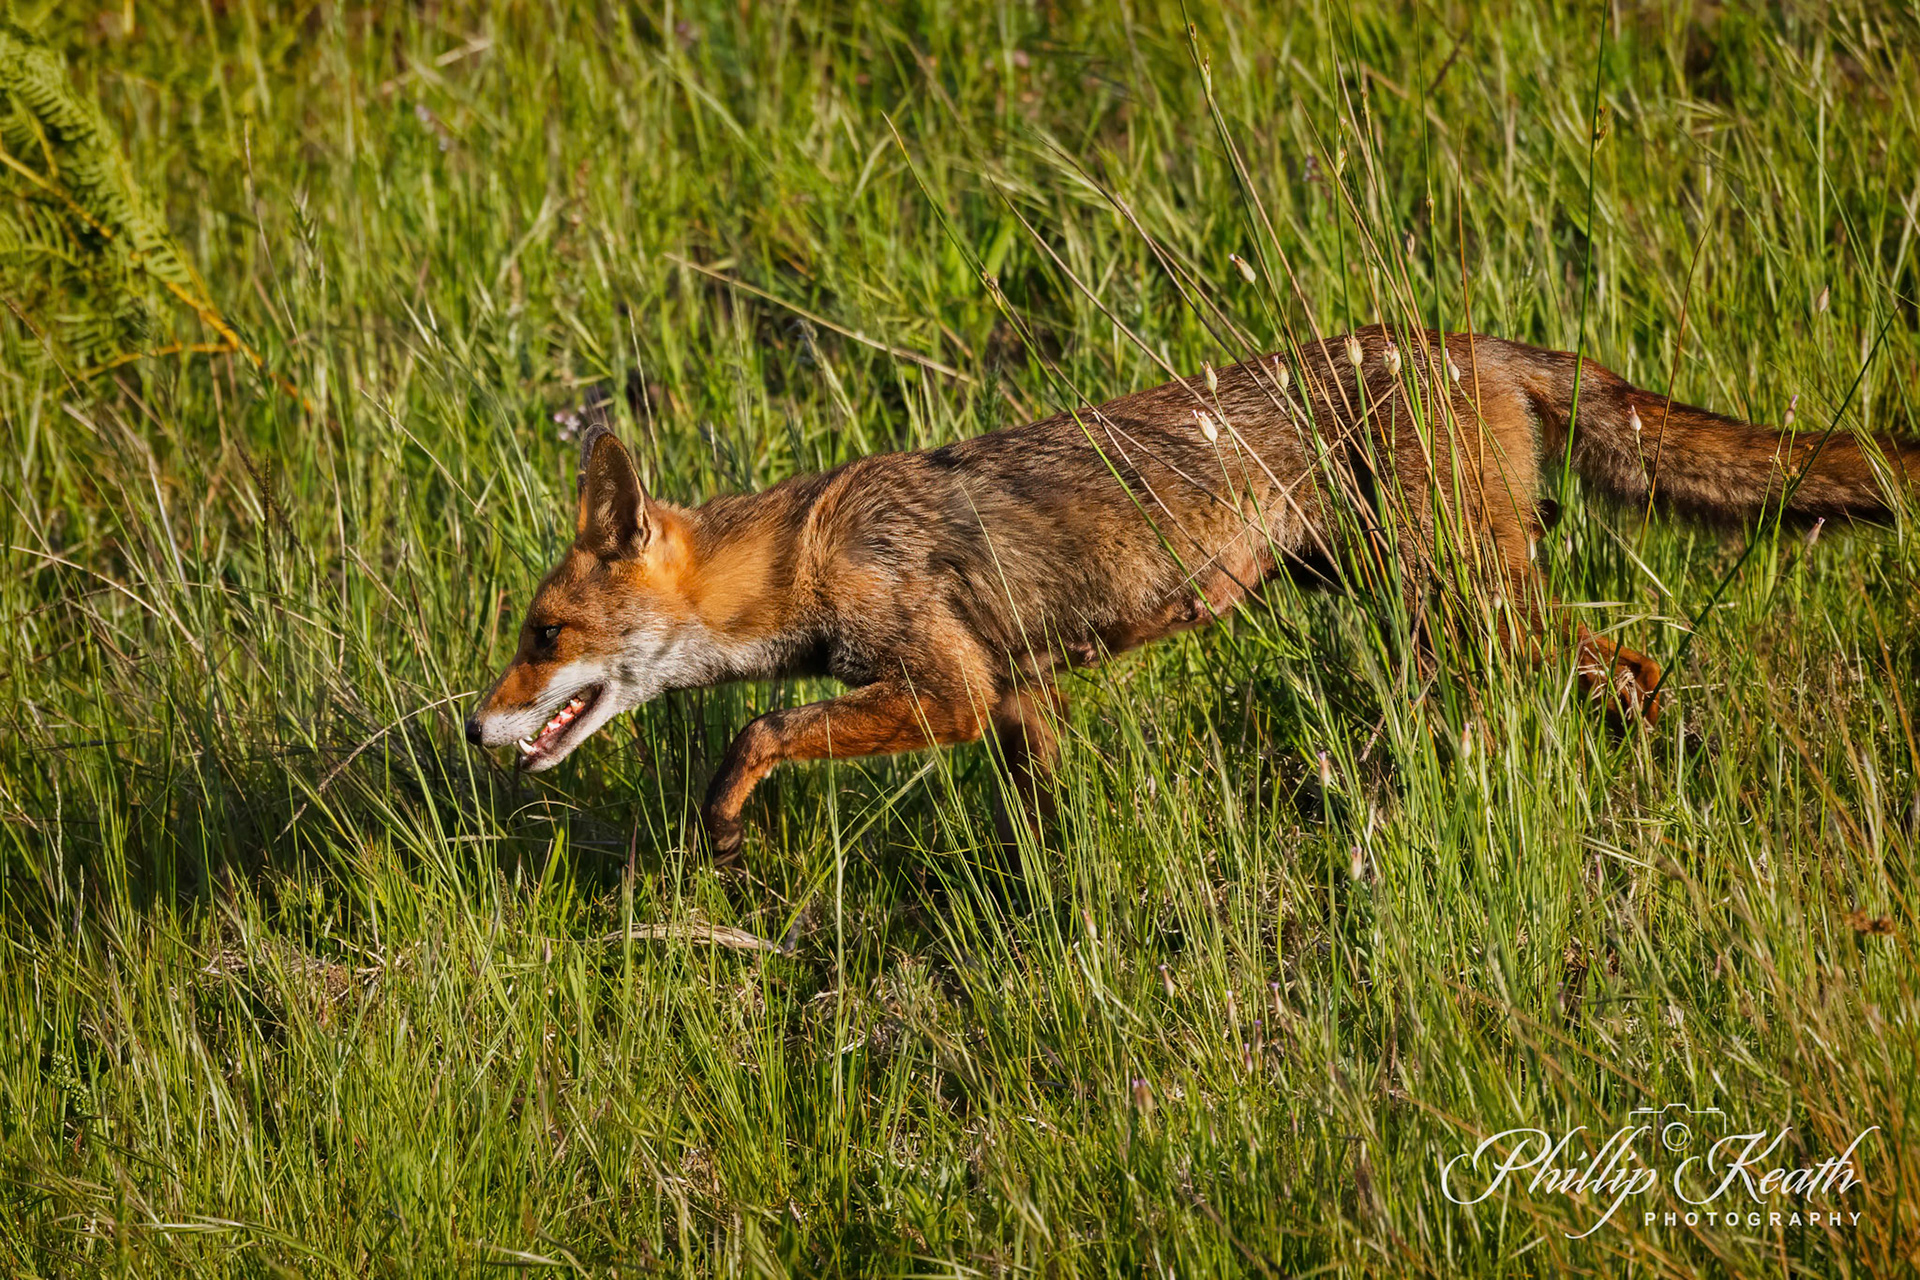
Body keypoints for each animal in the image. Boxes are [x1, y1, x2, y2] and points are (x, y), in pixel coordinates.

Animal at [466, 325, 1917, 864]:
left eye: (544, 638)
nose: (475, 727)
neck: (812, 553)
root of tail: (1476, 341)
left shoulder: (944, 687)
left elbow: (758, 729)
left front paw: (721, 820)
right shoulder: (1017, 700)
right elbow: (1047, 821)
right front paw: (1059, 905)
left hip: (1462, 610)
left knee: (1636, 668)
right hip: (1421, 603)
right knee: (1618, 671)